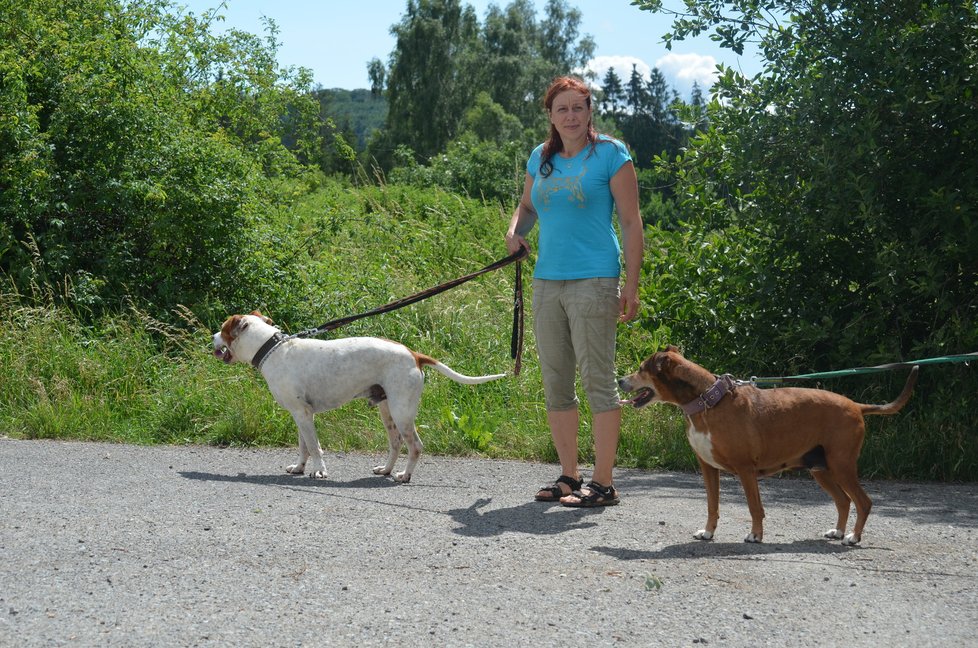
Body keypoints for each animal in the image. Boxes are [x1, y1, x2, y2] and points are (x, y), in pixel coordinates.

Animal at [213, 312, 504, 484]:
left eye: (223, 329)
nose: (211, 337)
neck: (273, 349)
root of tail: (414, 354)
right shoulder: (300, 415)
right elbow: (304, 446)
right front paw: (299, 468)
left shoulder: (304, 415)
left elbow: (315, 447)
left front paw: (319, 471)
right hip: (387, 412)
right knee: (396, 443)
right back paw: (385, 470)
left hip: (402, 412)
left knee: (415, 446)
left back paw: (404, 475)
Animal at [616, 346, 916, 544]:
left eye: (641, 369)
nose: (619, 379)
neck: (707, 401)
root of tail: (856, 406)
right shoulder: (708, 468)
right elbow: (712, 505)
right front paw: (709, 531)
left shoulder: (745, 470)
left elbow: (754, 507)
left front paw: (756, 535)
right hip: (820, 468)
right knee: (844, 501)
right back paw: (839, 531)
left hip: (841, 466)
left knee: (863, 502)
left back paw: (853, 537)